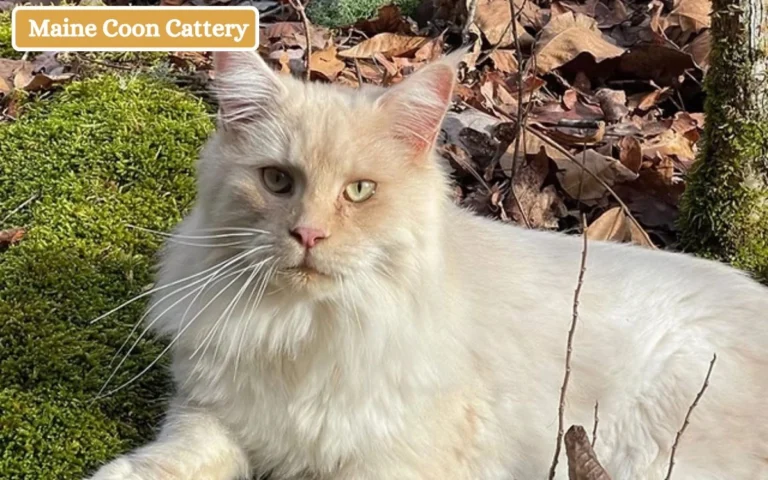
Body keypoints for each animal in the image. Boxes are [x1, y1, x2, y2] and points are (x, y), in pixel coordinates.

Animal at [87, 49, 768, 480]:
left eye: (360, 192)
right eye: (277, 181)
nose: (308, 233)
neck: (305, 328)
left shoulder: (393, 461)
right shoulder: (212, 415)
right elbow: (171, 459)